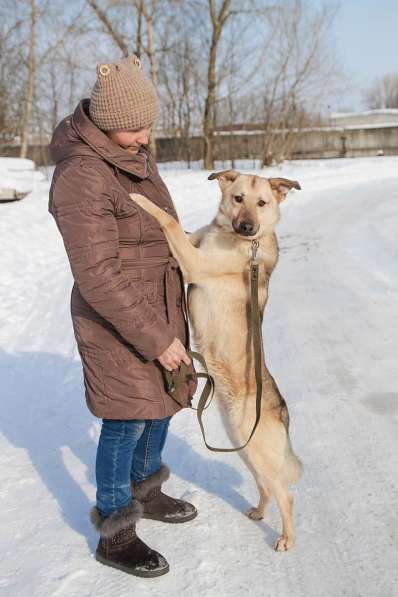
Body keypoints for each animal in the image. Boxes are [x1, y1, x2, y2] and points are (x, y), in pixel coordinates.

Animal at [130, 168, 302, 548]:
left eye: (262, 202)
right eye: (238, 198)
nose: (248, 227)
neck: (240, 242)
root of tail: (282, 411)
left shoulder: (195, 265)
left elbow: (168, 220)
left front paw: (138, 199)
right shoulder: (195, 246)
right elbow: (185, 229)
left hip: (257, 452)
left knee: (285, 494)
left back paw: (286, 538)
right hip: (243, 447)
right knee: (267, 487)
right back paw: (259, 512)